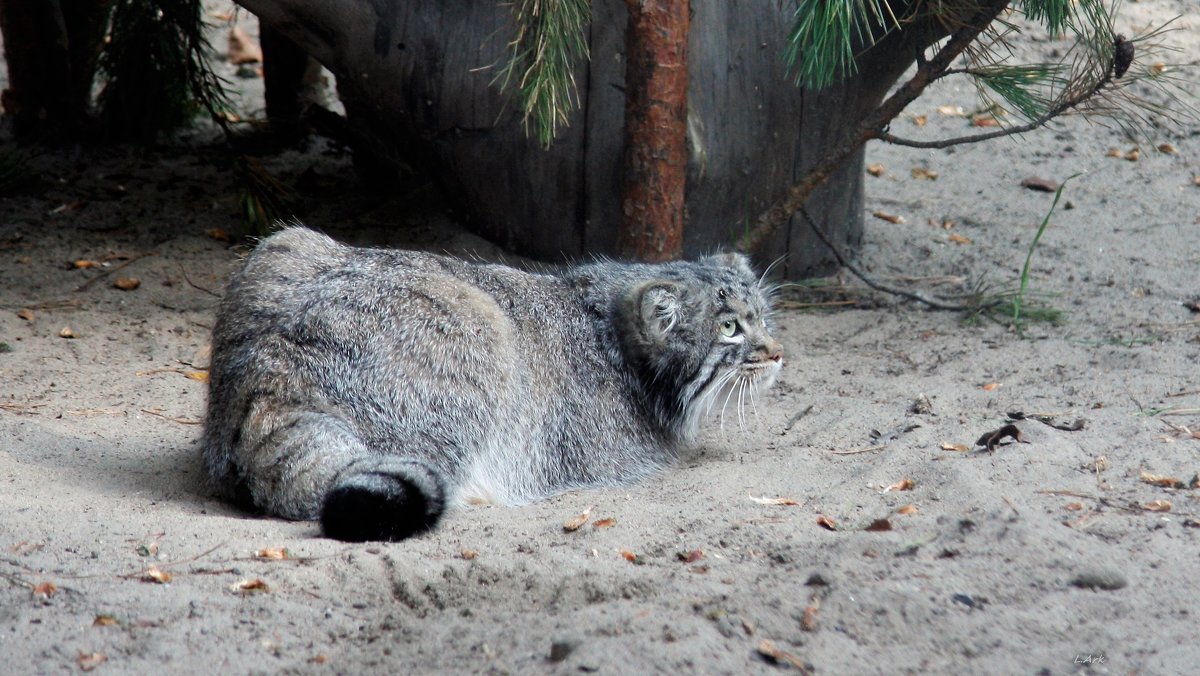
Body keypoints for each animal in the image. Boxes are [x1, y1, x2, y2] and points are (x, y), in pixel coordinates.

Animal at [201, 230, 782, 542]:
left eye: (762, 316)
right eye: (730, 327)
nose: (778, 352)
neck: (607, 329)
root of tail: (268, 381)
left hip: (285, 242)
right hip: (483, 324)